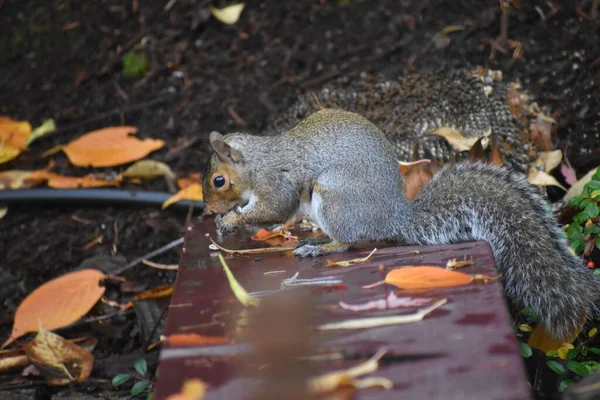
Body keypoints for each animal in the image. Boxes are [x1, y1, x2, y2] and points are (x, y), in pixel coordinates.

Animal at [203, 108, 600, 342]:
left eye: (219, 181)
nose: (207, 209)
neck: (257, 162)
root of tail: (395, 215)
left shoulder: (276, 183)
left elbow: (274, 208)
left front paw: (233, 219)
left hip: (334, 197)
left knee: (349, 241)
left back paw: (318, 245)